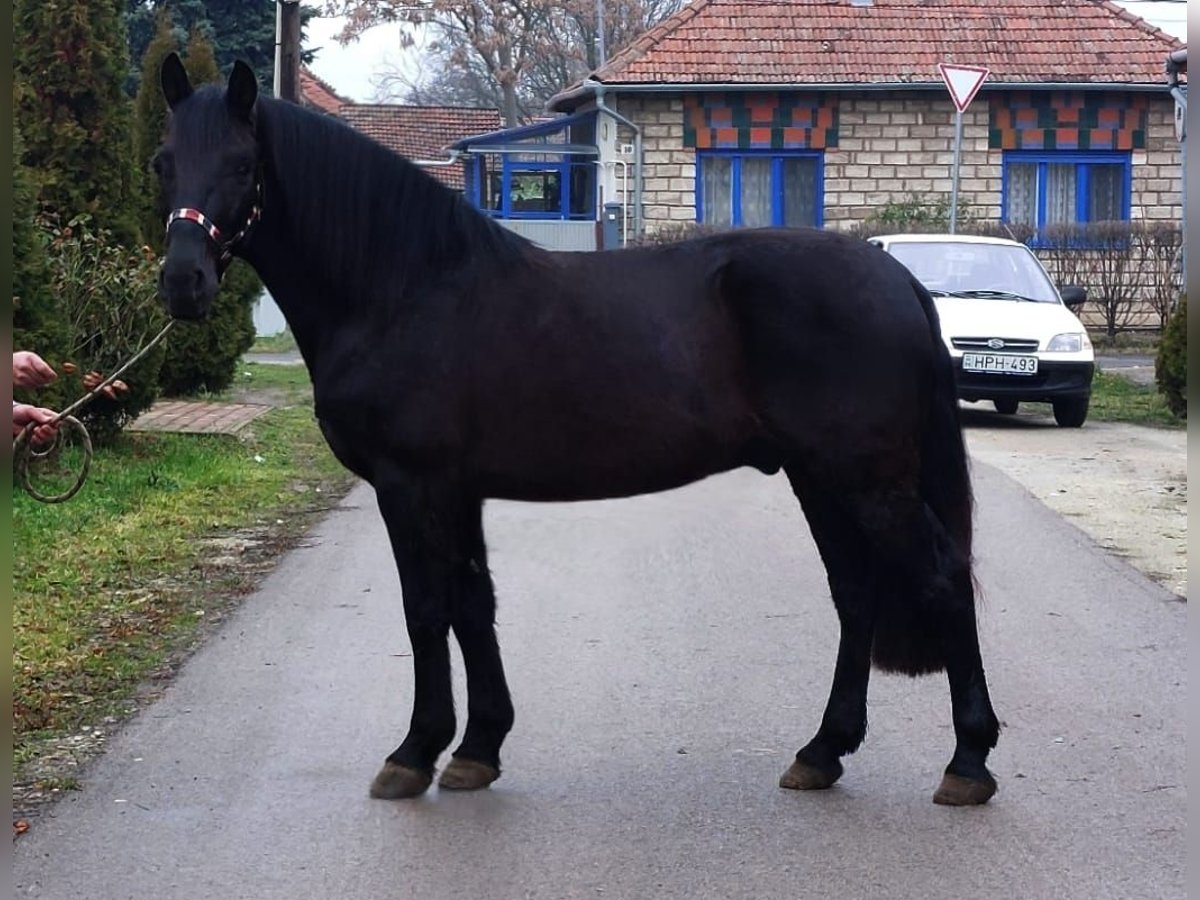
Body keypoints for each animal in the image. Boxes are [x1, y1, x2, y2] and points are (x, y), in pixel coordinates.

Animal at [154, 54, 998, 811]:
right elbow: (473, 603)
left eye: (242, 163)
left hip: (867, 480)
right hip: (821, 477)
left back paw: (968, 762)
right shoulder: (457, 491)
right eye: (164, 161)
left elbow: (426, 609)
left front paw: (414, 753)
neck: (406, 287)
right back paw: (822, 752)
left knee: (945, 577)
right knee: (855, 593)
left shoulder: (411, 486)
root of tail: (899, 278)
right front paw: (477, 749)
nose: (182, 283)